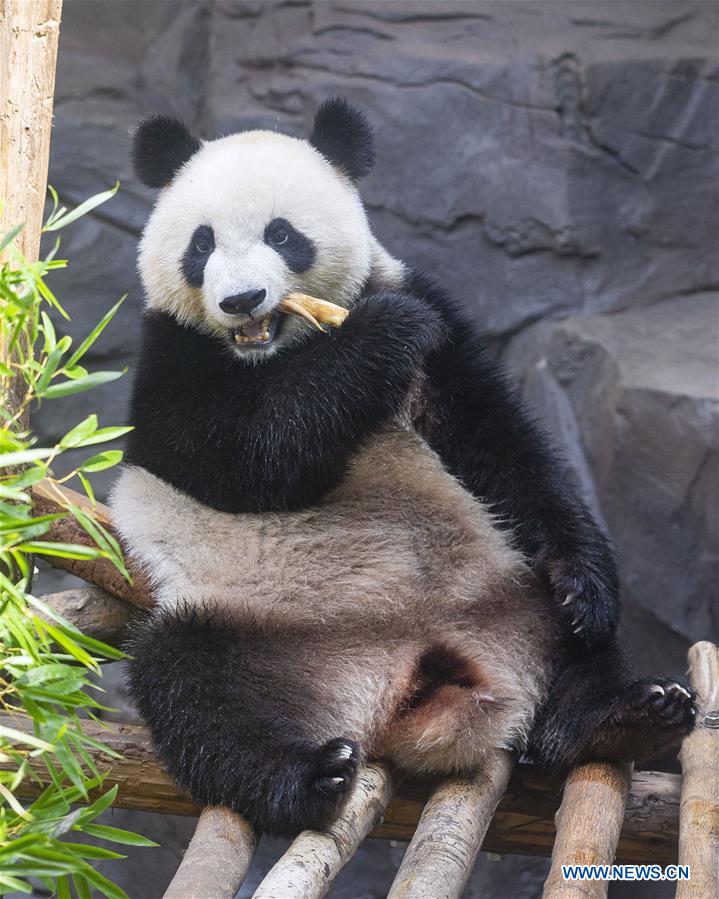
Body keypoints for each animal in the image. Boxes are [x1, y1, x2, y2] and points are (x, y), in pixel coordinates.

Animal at [112, 98, 696, 836]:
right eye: (201, 244)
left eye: (282, 234)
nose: (242, 300)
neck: (277, 350)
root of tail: (410, 675)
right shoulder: (169, 357)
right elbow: (241, 459)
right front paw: (380, 332)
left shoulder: (432, 323)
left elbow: (500, 445)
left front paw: (584, 582)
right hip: (250, 622)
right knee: (192, 688)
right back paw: (309, 775)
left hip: (505, 586)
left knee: (576, 652)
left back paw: (621, 713)